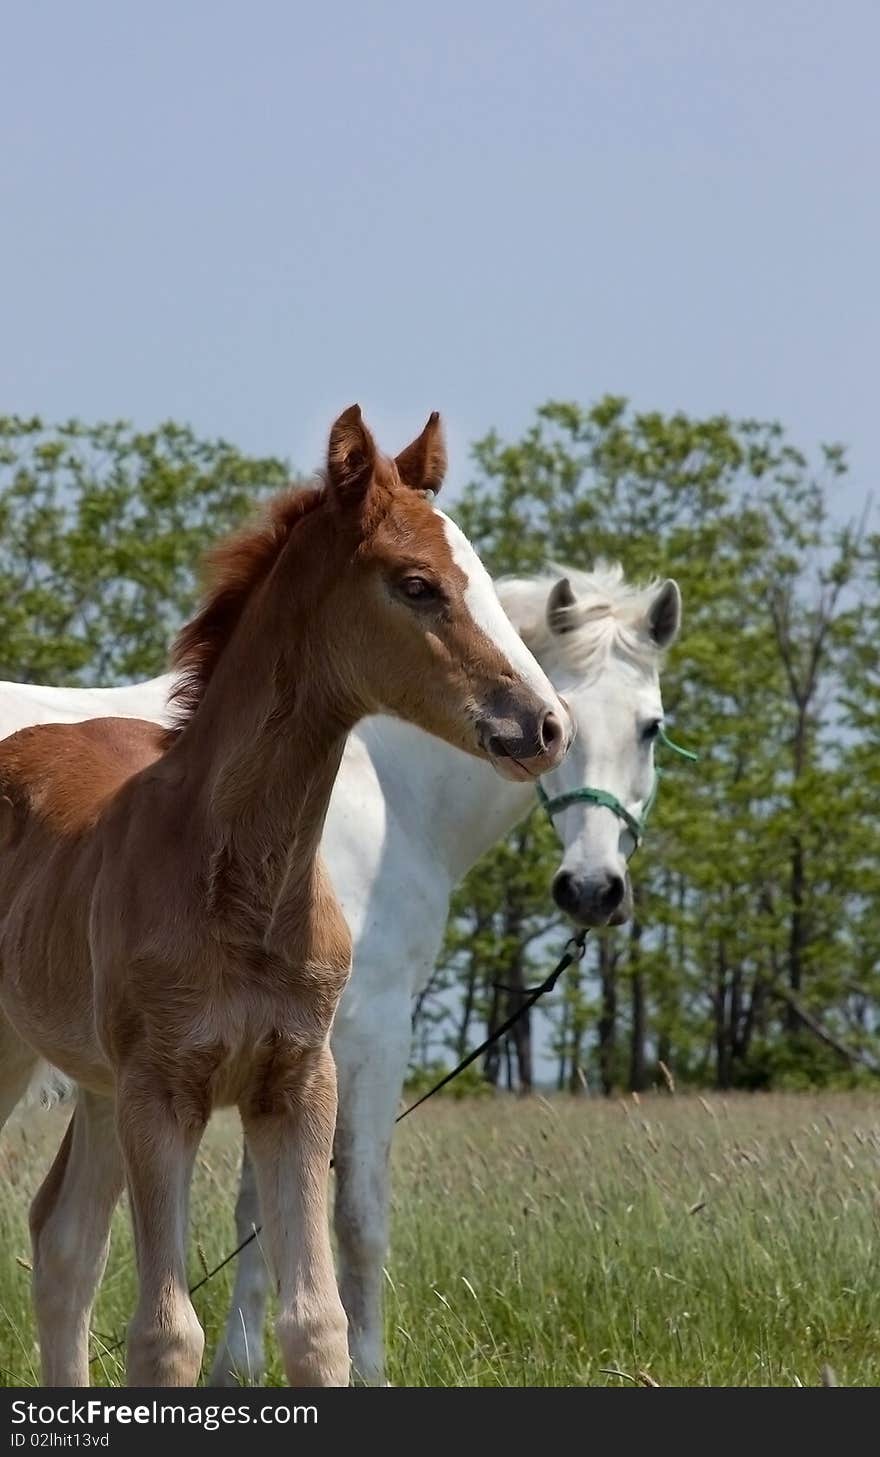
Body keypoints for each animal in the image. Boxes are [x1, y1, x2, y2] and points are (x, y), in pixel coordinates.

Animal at [0, 407, 571, 1387]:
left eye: (486, 578)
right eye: (417, 584)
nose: (545, 724)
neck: (246, 888)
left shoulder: (297, 1079)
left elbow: (316, 1321)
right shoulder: (165, 1090)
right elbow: (167, 1334)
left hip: (99, 1083)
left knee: (64, 1242)